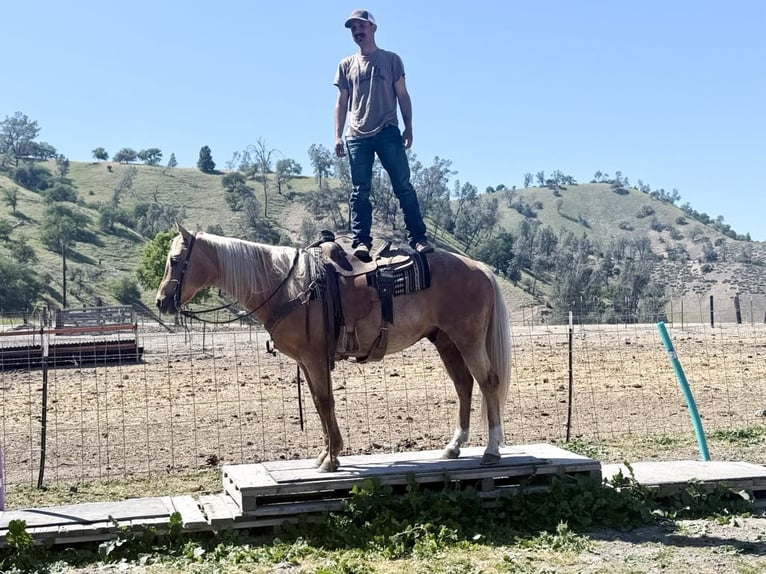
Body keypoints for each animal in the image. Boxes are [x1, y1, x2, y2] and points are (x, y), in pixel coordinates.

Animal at [155, 224, 511, 472]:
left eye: (175, 259)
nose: (161, 301)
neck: (290, 287)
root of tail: (478, 266)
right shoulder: (307, 360)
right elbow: (318, 403)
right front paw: (326, 454)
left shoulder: (314, 358)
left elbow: (325, 403)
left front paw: (331, 458)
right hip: (446, 341)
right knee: (464, 385)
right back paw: (454, 446)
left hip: (468, 340)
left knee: (488, 382)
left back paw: (492, 450)